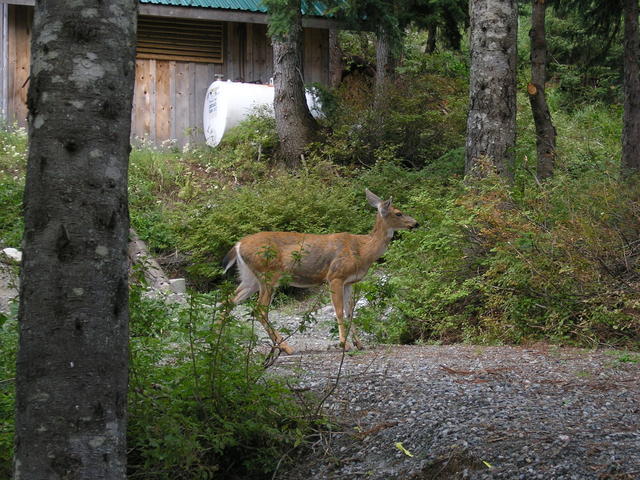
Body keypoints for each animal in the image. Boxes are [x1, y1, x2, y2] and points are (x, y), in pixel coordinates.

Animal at [221, 189, 420, 354]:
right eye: (398, 213)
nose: (416, 223)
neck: (363, 250)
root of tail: (238, 244)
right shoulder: (335, 276)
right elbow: (339, 311)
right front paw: (344, 344)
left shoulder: (349, 282)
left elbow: (350, 312)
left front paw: (359, 343)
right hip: (268, 274)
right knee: (260, 310)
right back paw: (286, 347)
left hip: (250, 278)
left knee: (230, 300)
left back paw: (220, 342)